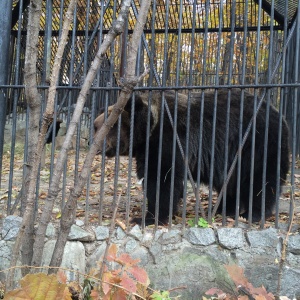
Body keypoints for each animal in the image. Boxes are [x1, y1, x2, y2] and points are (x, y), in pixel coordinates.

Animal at [94, 89, 290, 225]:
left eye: (110, 125)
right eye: (96, 126)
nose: (95, 143)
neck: (148, 132)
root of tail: (279, 115)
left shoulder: (169, 139)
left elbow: (162, 179)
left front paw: (148, 217)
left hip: (256, 144)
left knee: (261, 181)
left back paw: (252, 213)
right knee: (231, 183)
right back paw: (222, 209)